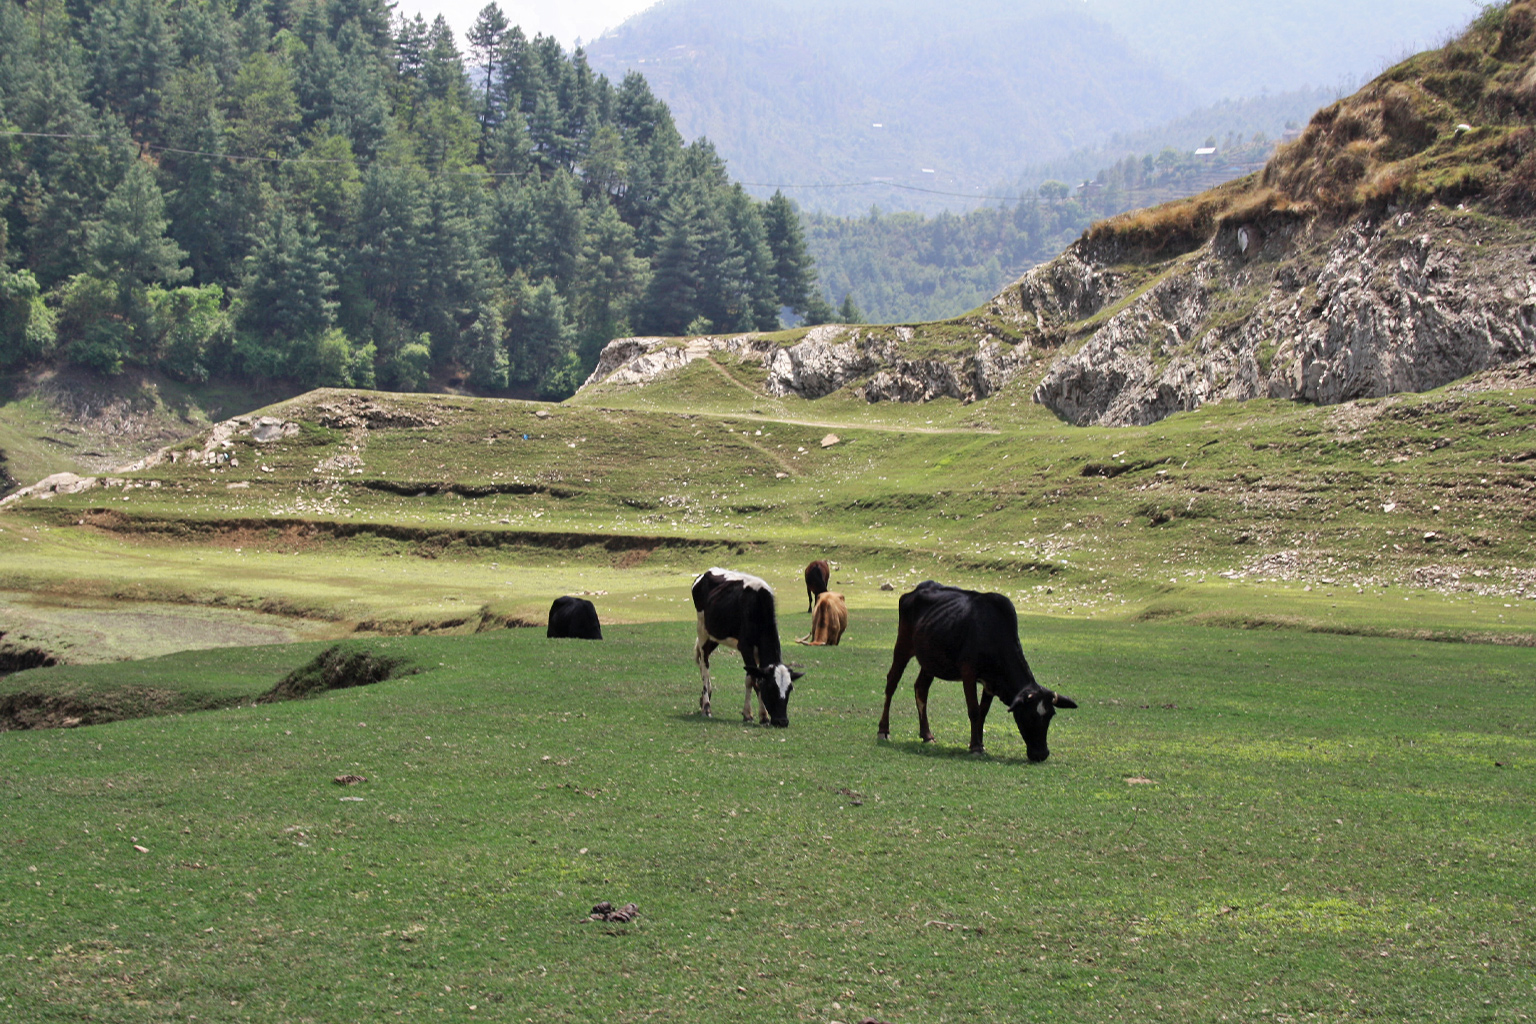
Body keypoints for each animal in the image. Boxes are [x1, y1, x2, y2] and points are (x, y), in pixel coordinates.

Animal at [688, 568, 798, 727]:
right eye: (771, 688)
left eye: (790, 689)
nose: (782, 721)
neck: (759, 606)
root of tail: (705, 573)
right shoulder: (745, 647)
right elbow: (755, 680)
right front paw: (763, 716)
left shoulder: (756, 652)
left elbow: (750, 679)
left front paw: (748, 714)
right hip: (702, 630)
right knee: (704, 666)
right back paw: (706, 707)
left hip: (715, 635)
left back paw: (704, 698)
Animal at [878, 583, 1081, 761]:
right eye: (1029, 715)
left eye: (1050, 715)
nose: (1041, 754)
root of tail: (912, 593)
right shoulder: (969, 674)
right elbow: (974, 710)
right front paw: (975, 747)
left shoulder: (990, 682)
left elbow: (983, 712)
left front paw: (979, 743)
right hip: (903, 647)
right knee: (891, 684)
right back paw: (883, 730)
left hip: (930, 661)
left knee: (921, 688)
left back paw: (927, 734)